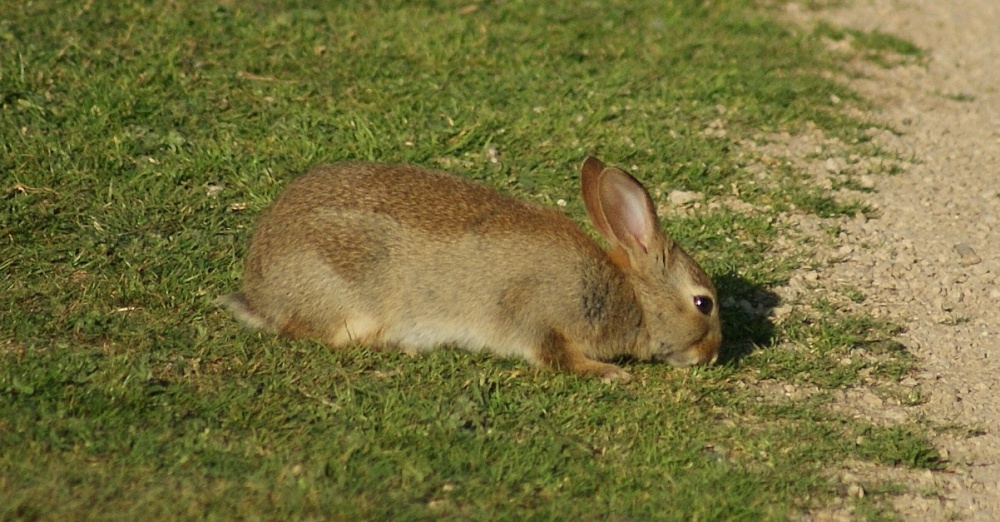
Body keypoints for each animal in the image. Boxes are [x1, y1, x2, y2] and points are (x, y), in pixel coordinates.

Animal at [219, 157, 721, 382]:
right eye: (704, 303)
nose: (713, 354)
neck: (631, 295)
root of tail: (259, 290)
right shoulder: (541, 318)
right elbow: (556, 355)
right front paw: (609, 374)